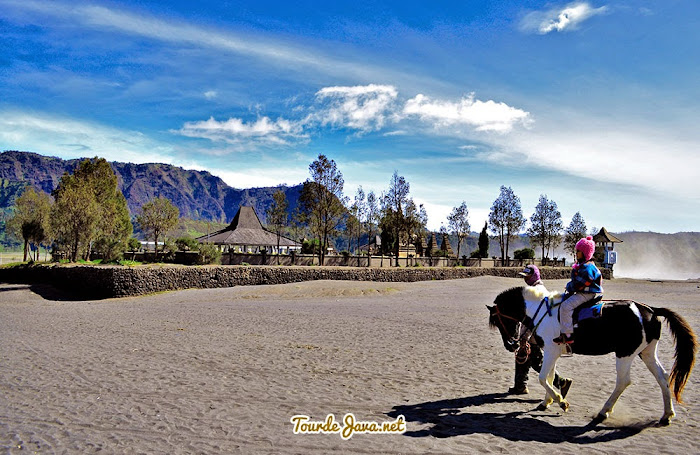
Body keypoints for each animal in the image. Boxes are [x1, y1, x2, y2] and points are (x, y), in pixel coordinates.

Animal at [490, 286, 696, 426]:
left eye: (499, 321)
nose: (511, 345)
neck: (541, 311)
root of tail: (650, 309)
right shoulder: (552, 351)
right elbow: (549, 376)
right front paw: (546, 402)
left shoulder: (550, 350)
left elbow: (542, 378)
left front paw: (561, 402)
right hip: (646, 353)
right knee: (663, 377)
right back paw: (667, 415)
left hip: (625, 354)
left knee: (623, 381)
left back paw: (603, 412)